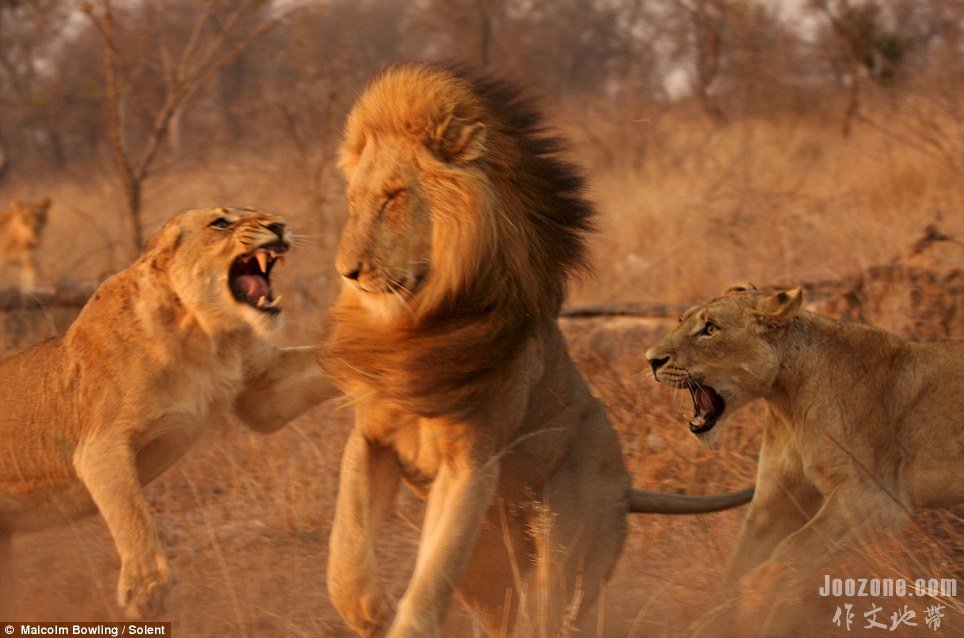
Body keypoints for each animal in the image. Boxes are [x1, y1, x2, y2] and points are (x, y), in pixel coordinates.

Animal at [0, 209, 338, 620]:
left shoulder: (266, 394)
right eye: (221, 223)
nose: (279, 226)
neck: (204, 334)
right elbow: (133, 516)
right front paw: (147, 591)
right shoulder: (99, 446)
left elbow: (336, 358)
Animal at [324, 63, 752, 638]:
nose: (347, 272)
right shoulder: (371, 438)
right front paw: (370, 612)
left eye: (393, 198)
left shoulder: (472, 463)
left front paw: (400, 622)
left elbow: (432, 575)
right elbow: (344, 551)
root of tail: (627, 483)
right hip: (488, 566)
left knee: (552, 612)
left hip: (567, 544)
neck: (420, 322)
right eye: (354, 204)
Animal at [644, 284, 964, 600]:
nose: (651, 359)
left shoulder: (876, 498)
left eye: (710, 329)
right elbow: (736, 566)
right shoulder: (775, 499)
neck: (787, 400)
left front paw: (757, 595)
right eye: (681, 320)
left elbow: (785, 557)